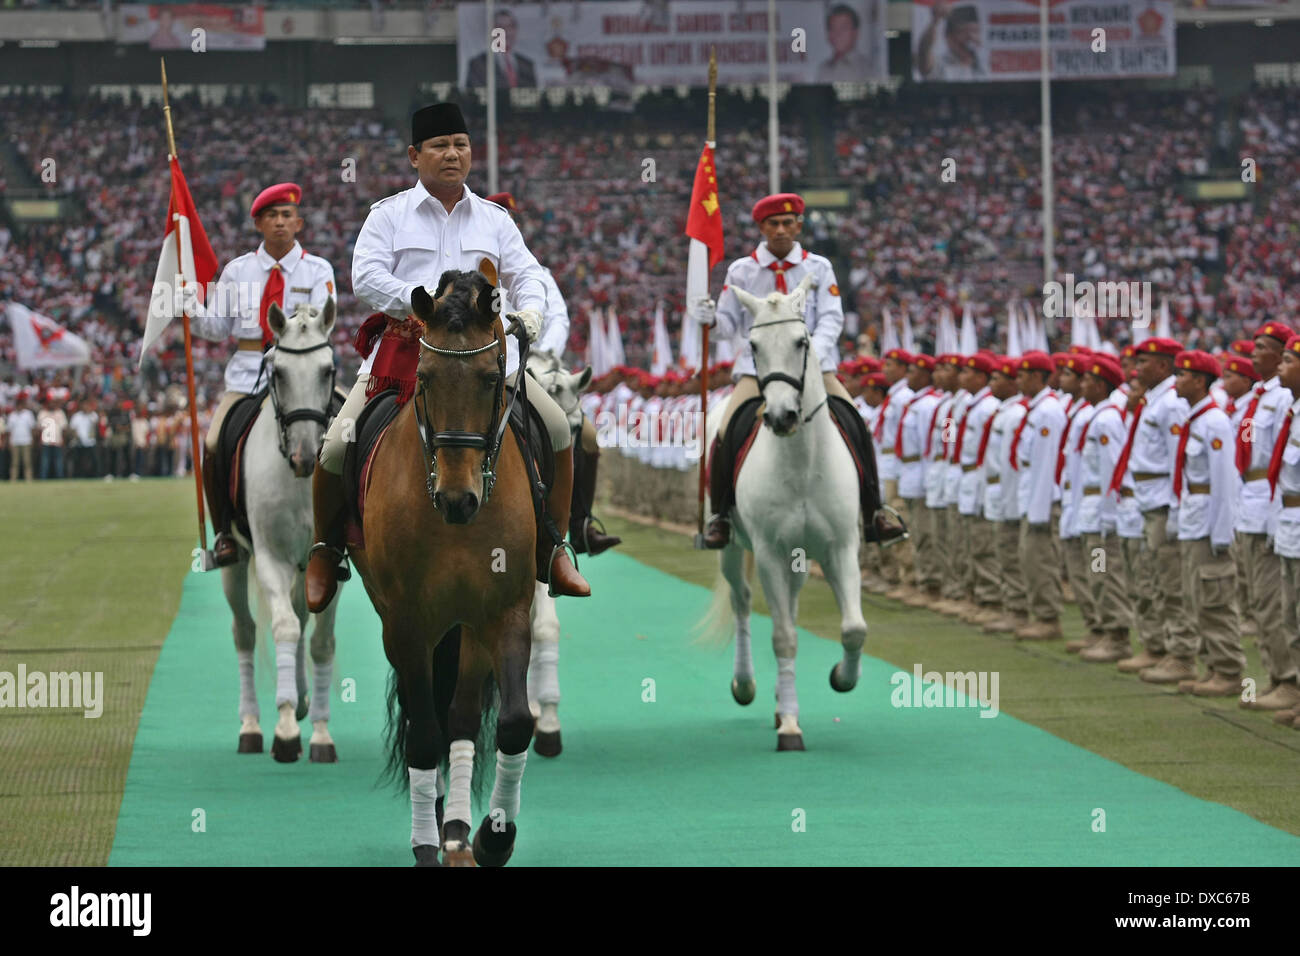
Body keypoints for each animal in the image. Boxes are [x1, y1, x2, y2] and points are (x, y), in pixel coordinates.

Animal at [223, 299, 345, 764]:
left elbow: (321, 641)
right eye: (278, 373)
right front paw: (287, 726)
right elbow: (285, 629)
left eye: (328, 370)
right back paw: (252, 725)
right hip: (234, 564)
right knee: (245, 630)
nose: (305, 457)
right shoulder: (271, 560)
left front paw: (322, 734)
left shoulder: (329, 561)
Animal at [348, 267, 535, 868]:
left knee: (460, 715)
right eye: (425, 380)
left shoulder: (506, 609)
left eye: (491, 377)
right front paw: (426, 846)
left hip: (467, 626)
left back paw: (456, 830)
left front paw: (494, 837)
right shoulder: (407, 623)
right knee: (422, 716)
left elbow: (513, 722)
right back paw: (435, 828)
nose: (458, 499)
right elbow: (422, 734)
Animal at [707, 277, 868, 754]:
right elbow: (782, 637)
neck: (801, 462)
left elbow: (853, 628)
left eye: (802, 341)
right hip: (731, 547)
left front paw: (841, 678)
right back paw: (746, 685)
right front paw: (791, 728)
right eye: (753, 345)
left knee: (792, 605)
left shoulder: (841, 548)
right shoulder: (768, 553)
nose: (781, 416)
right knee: (742, 600)